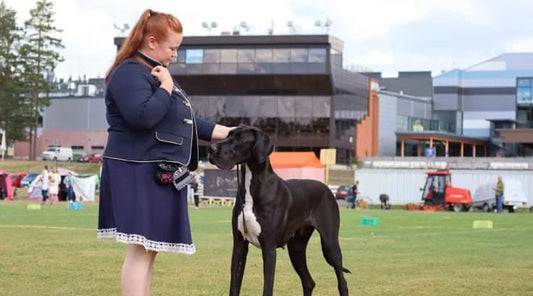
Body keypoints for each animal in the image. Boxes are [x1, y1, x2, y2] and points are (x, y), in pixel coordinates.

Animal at [208, 125, 350, 296]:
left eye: (240, 140)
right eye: (228, 135)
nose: (211, 148)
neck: (251, 184)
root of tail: (327, 188)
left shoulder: (269, 248)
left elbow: (267, 287)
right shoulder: (239, 246)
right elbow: (234, 285)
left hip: (330, 244)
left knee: (342, 281)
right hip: (296, 248)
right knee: (308, 281)